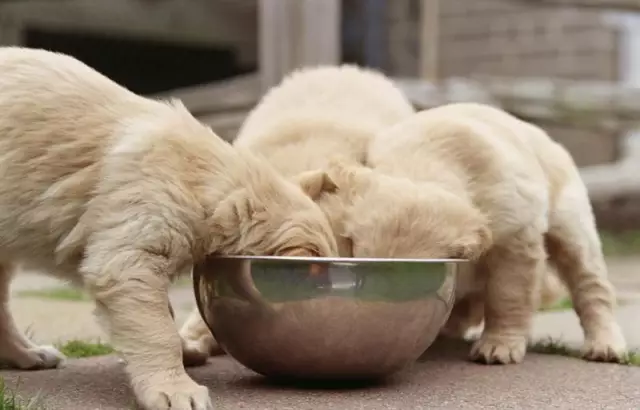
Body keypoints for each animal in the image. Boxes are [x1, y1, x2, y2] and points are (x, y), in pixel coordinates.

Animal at [0, 48, 340, 410]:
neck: (207, 178)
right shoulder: (132, 250)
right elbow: (157, 328)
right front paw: (174, 389)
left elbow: (163, 313)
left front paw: (184, 352)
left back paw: (28, 354)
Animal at [362, 104, 628, 364]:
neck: (424, 162)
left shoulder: (515, 233)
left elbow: (508, 294)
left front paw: (499, 346)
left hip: (570, 222)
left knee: (590, 284)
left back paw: (605, 345)